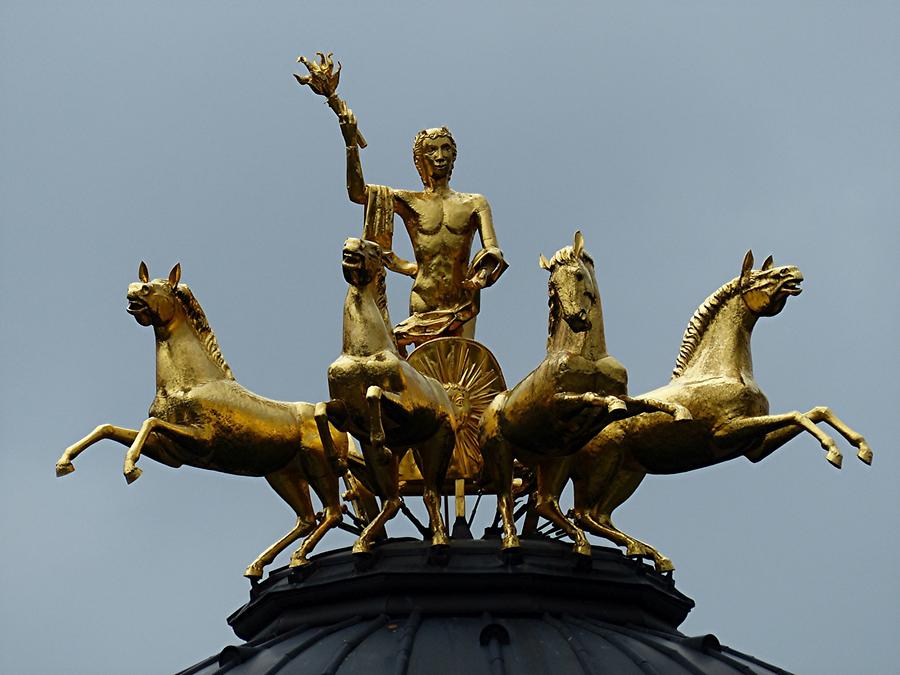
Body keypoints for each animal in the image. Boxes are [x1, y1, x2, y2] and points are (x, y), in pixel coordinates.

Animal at [54, 262, 346, 580]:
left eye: (156, 288)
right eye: (141, 283)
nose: (133, 290)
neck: (192, 382)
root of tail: (335, 418)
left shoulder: (202, 440)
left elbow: (148, 425)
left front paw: (130, 468)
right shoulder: (170, 453)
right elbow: (107, 428)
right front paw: (64, 462)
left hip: (319, 465)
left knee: (333, 512)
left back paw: (298, 558)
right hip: (283, 474)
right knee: (306, 518)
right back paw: (259, 565)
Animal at [314, 240, 458, 556]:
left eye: (375, 250)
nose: (350, 245)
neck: (363, 350)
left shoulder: (406, 405)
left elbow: (374, 392)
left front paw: (380, 439)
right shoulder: (344, 409)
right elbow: (320, 410)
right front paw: (335, 460)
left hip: (438, 443)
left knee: (431, 493)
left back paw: (440, 540)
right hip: (398, 454)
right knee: (393, 501)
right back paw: (362, 542)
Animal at [478, 232, 684, 560]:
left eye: (577, 274)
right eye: (552, 285)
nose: (575, 318)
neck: (588, 354)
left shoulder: (620, 398)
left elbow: (642, 402)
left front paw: (677, 410)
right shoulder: (557, 403)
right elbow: (591, 396)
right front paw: (612, 406)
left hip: (556, 459)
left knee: (545, 503)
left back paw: (584, 542)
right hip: (500, 452)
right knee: (505, 498)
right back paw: (512, 542)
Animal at [568, 251, 872, 572]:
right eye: (759, 277)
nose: (792, 271)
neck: (719, 370)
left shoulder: (754, 447)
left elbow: (817, 411)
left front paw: (862, 449)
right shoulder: (727, 432)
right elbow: (797, 415)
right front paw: (834, 452)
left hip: (629, 472)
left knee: (599, 516)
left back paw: (650, 554)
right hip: (602, 464)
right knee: (583, 514)